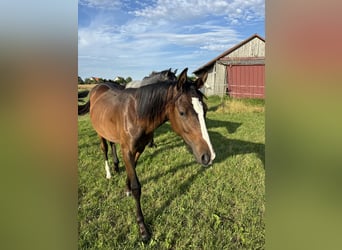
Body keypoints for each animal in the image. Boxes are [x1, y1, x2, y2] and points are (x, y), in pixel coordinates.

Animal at [79, 67, 215, 241]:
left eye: (205, 110)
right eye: (182, 112)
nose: (208, 156)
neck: (135, 113)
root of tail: (98, 86)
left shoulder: (139, 149)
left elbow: (132, 170)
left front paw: (127, 188)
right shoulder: (127, 150)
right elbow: (137, 187)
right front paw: (142, 229)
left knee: (112, 144)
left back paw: (116, 167)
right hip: (99, 132)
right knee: (104, 149)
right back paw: (109, 172)